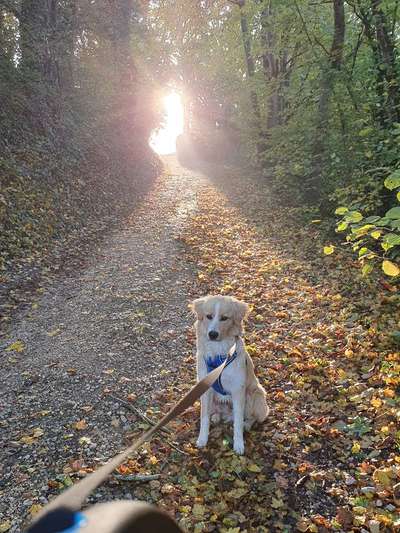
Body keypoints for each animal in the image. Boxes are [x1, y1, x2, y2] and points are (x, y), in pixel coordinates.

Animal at [191, 296, 268, 454]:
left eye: (224, 318)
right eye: (209, 316)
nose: (212, 334)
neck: (218, 357)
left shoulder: (238, 390)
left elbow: (238, 422)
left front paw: (239, 444)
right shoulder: (205, 388)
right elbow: (204, 417)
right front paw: (203, 439)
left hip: (255, 395)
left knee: (251, 418)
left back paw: (247, 425)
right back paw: (216, 416)